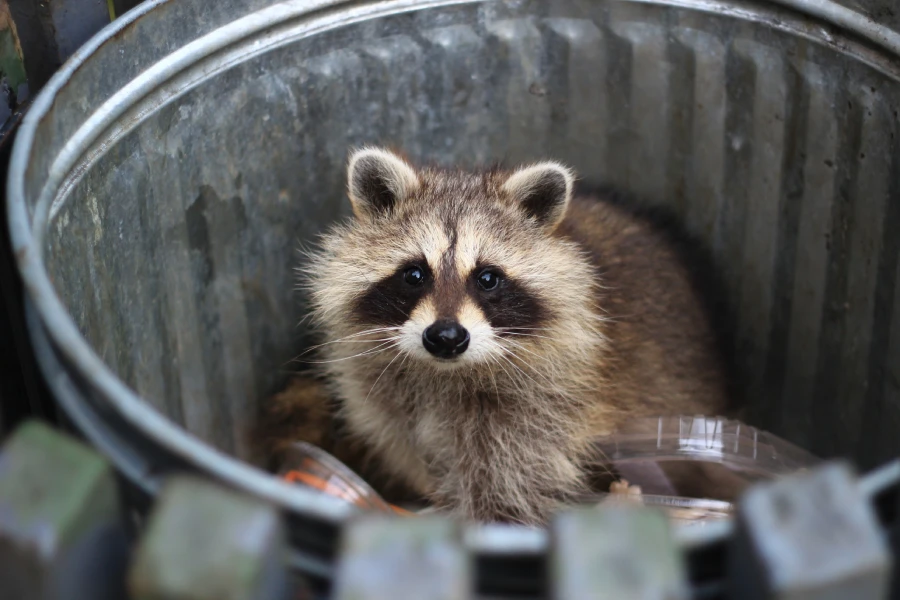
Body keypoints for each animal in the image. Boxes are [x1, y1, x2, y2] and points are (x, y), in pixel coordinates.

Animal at [260, 147, 732, 525]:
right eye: (414, 274)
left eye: (487, 278)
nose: (446, 336)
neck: (443, 373)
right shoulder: (383, 397)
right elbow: (406, 445)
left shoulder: (542, 411)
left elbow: (507, 492)